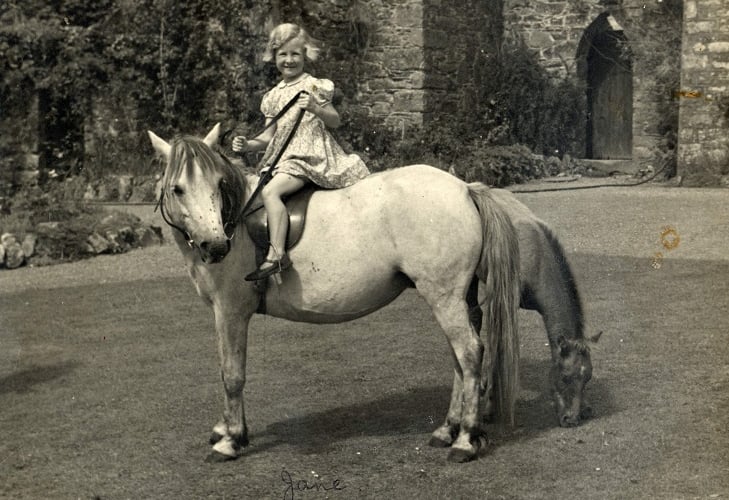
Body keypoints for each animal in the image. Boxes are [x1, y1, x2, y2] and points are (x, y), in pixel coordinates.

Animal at [147, 124, 521, 463]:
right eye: (178, 189)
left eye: (218, 185)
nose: (216, 246)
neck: (235, 223)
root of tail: (464, 188)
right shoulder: (220, 313)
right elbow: (225, 368)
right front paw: (225, 429)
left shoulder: (231, 311)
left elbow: (232, 374)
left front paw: (230, 440)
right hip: (456, 297)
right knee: (461, 356)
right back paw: (448, 430)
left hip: (444, 296)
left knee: (469, 352)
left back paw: (466, 440)